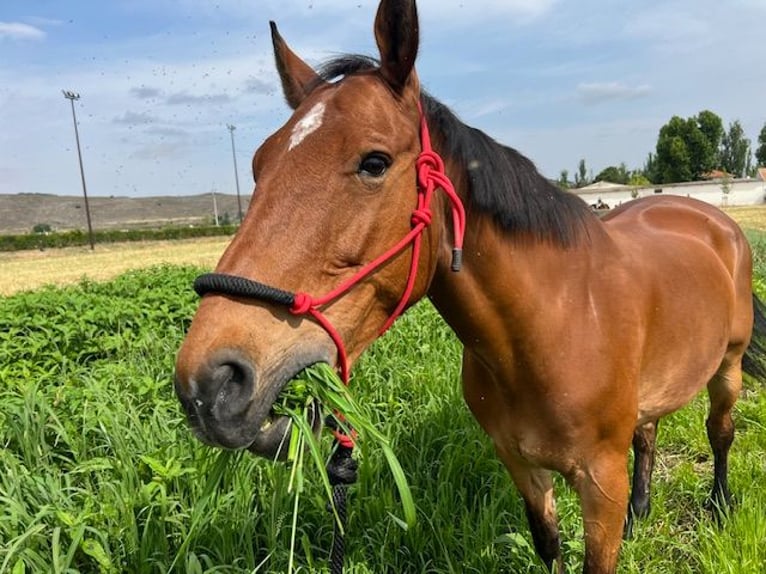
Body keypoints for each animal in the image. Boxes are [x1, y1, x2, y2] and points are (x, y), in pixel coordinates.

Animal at [174, 1, 766, 572]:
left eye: (374, 162)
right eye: (258, 165)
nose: (209, 383)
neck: (555, 324)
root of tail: (711, 217)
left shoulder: (602, 482)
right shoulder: (521, 465)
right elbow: (548, 544)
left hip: (728, 367)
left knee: (720, 431)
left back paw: (718, 504)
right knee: (649, 432)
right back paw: (641, 515)